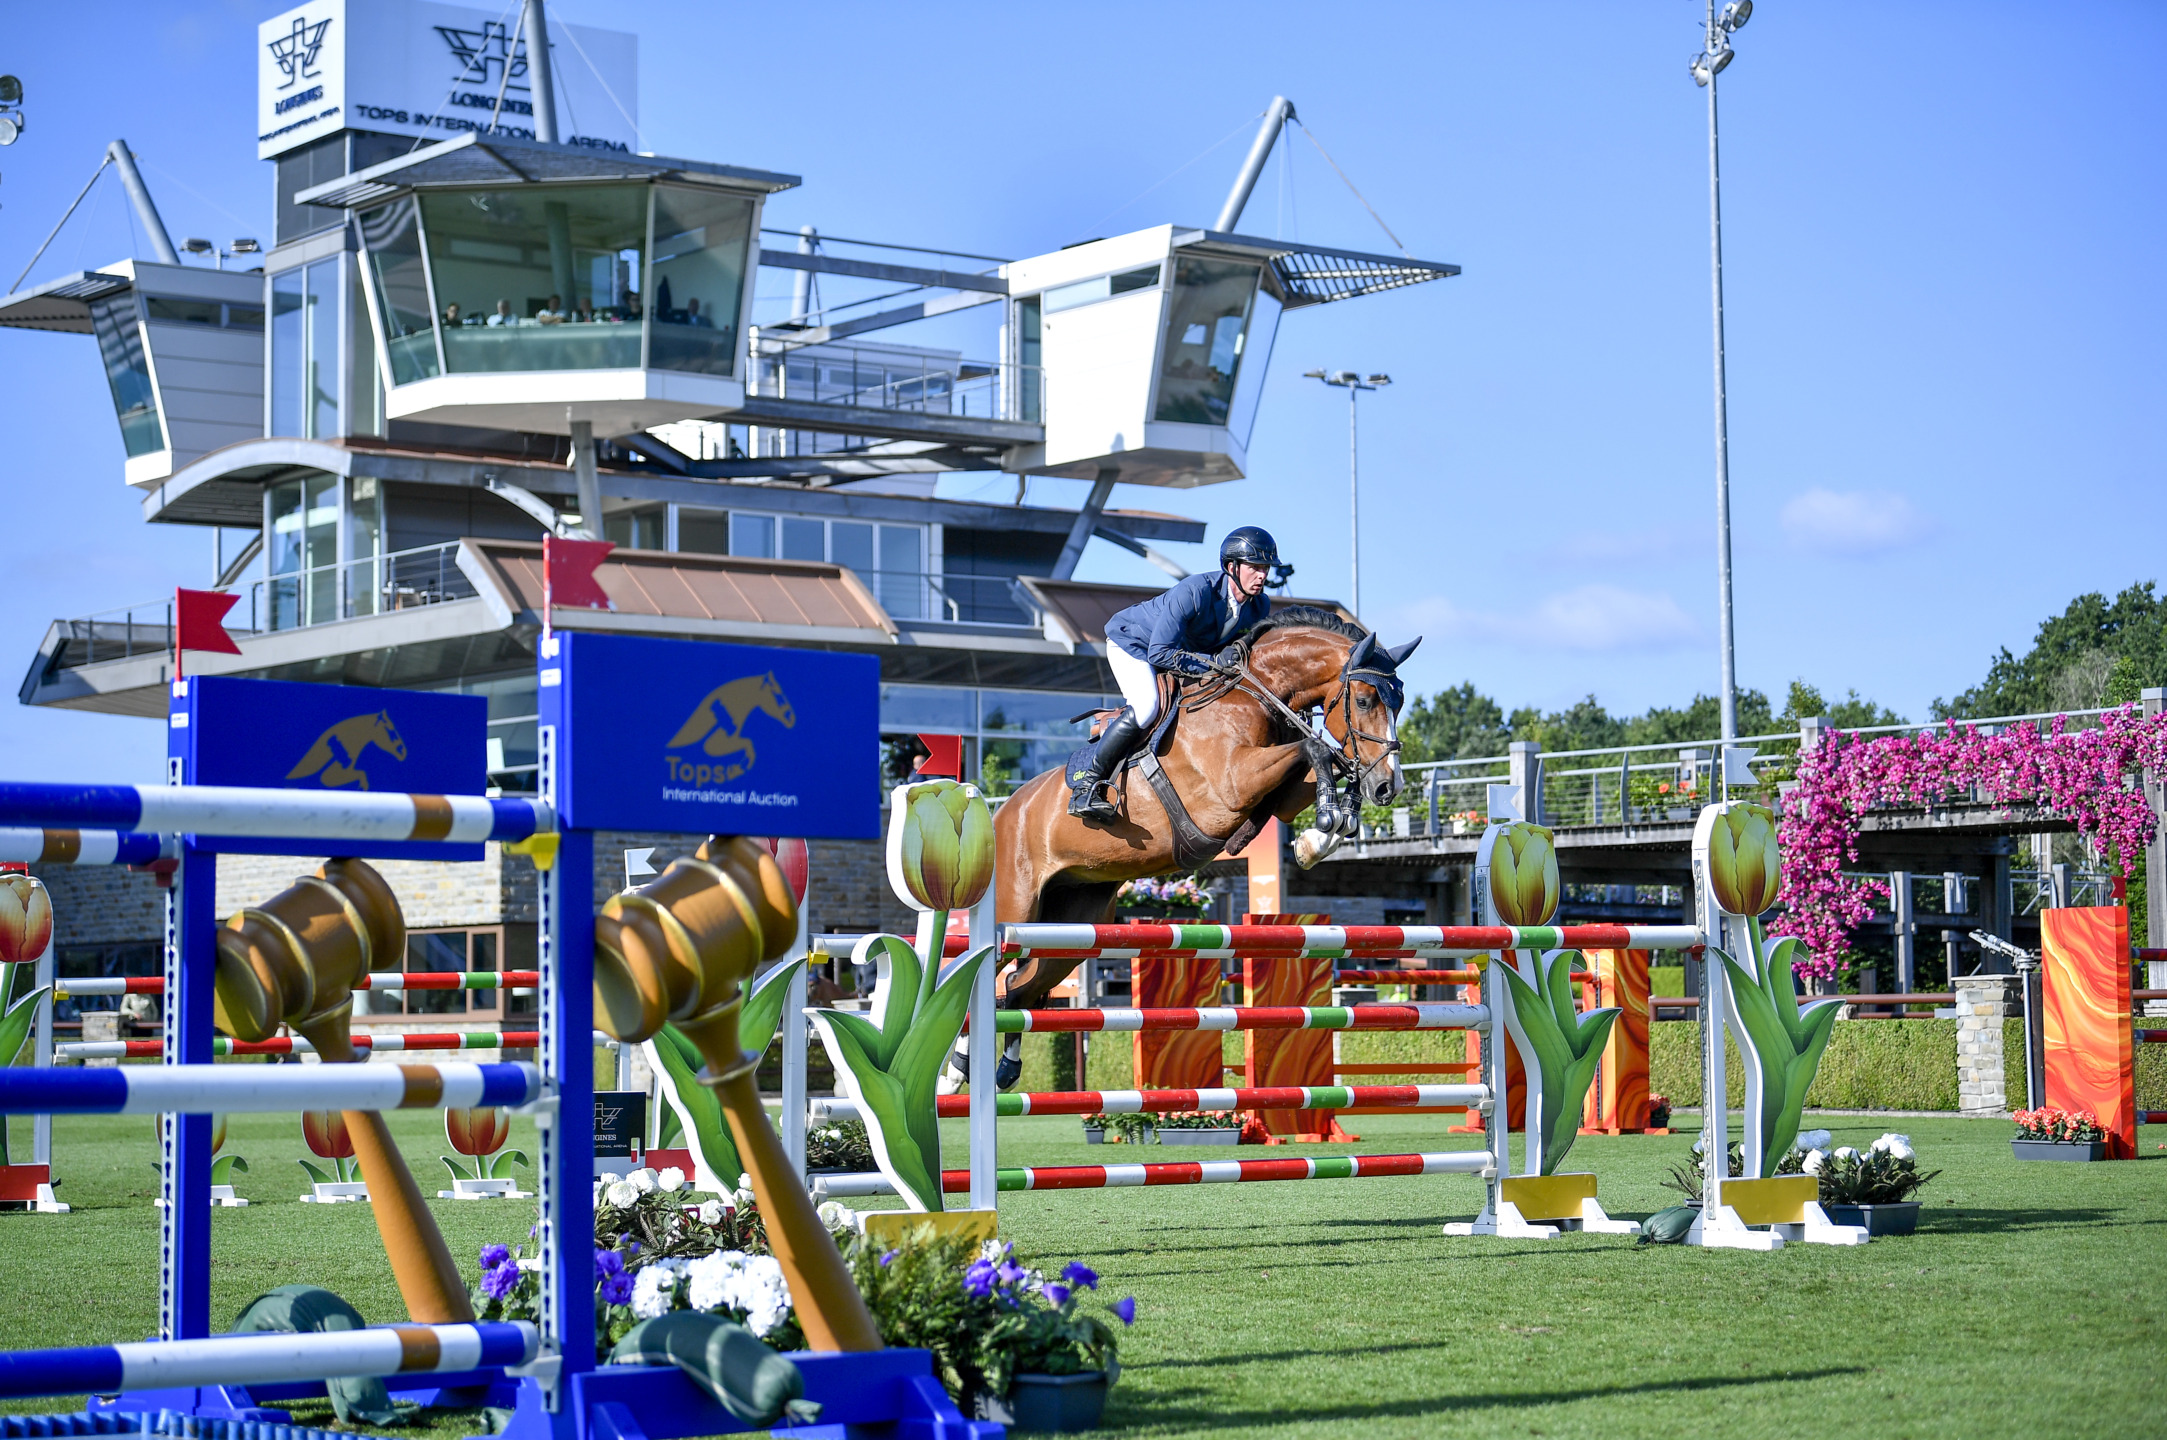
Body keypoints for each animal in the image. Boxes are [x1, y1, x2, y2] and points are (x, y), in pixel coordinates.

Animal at [988, 606, 1421, 1056]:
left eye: (1400, 702)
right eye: (1365, 700)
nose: (1389, 787)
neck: (1253, 694)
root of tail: (999, 814)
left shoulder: (1279, 795)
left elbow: (1331, 766)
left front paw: (1320, 836)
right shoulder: (1232, 783)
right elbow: (1315, 748)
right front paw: (1325, 823)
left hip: (1072, 924)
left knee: (1019, 988)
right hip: (1015, 910)